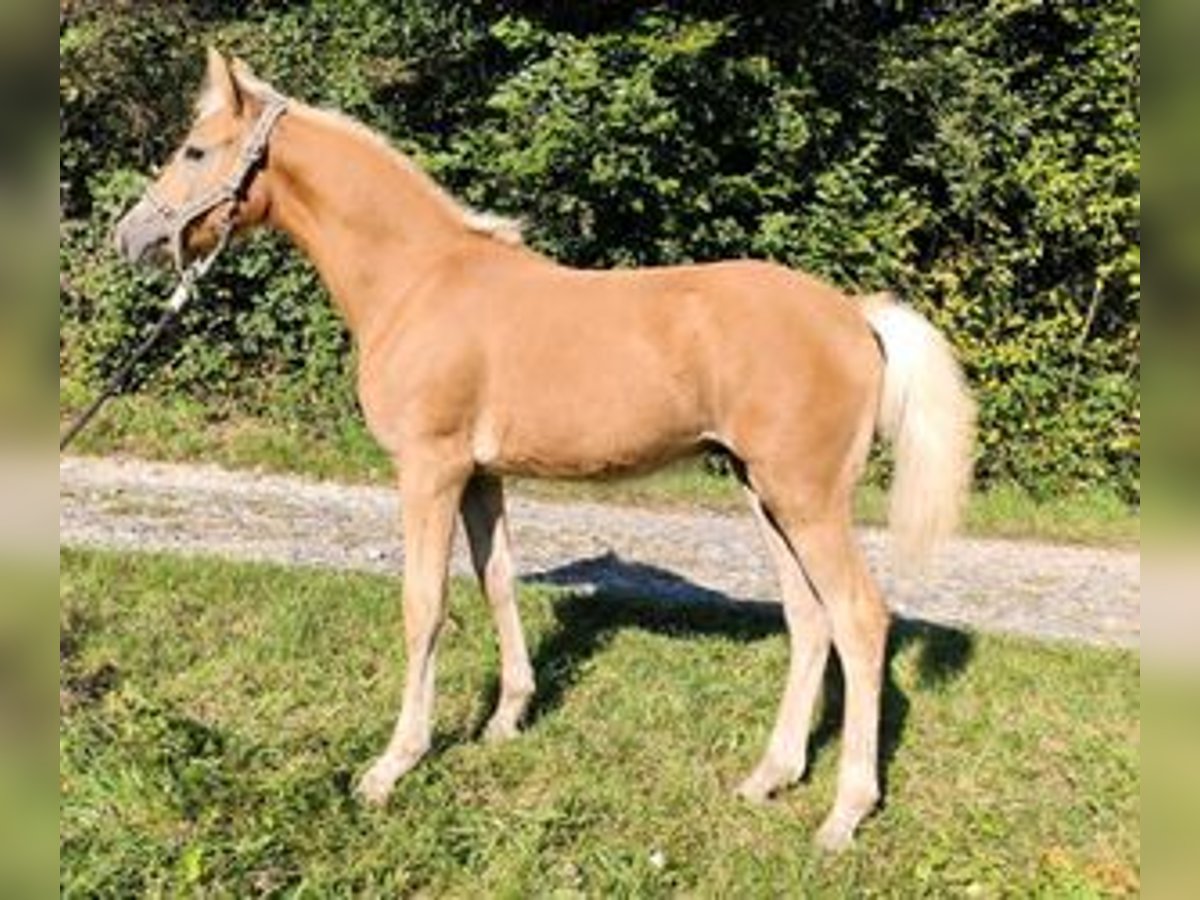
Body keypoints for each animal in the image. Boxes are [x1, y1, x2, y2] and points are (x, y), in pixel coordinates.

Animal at [112, 49, 974, 854]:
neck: (417, 282)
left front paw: (392, 767)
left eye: (194, 150)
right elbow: (496, 582)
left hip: (805, 497)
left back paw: (843, 814)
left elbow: (424, 605)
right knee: (810, 618)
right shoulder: (480, 477)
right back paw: (770, 777)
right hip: (765, 494)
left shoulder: (428, 470)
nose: (131, 237)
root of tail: (856, 316)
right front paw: (506, 720)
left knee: (859, 619)